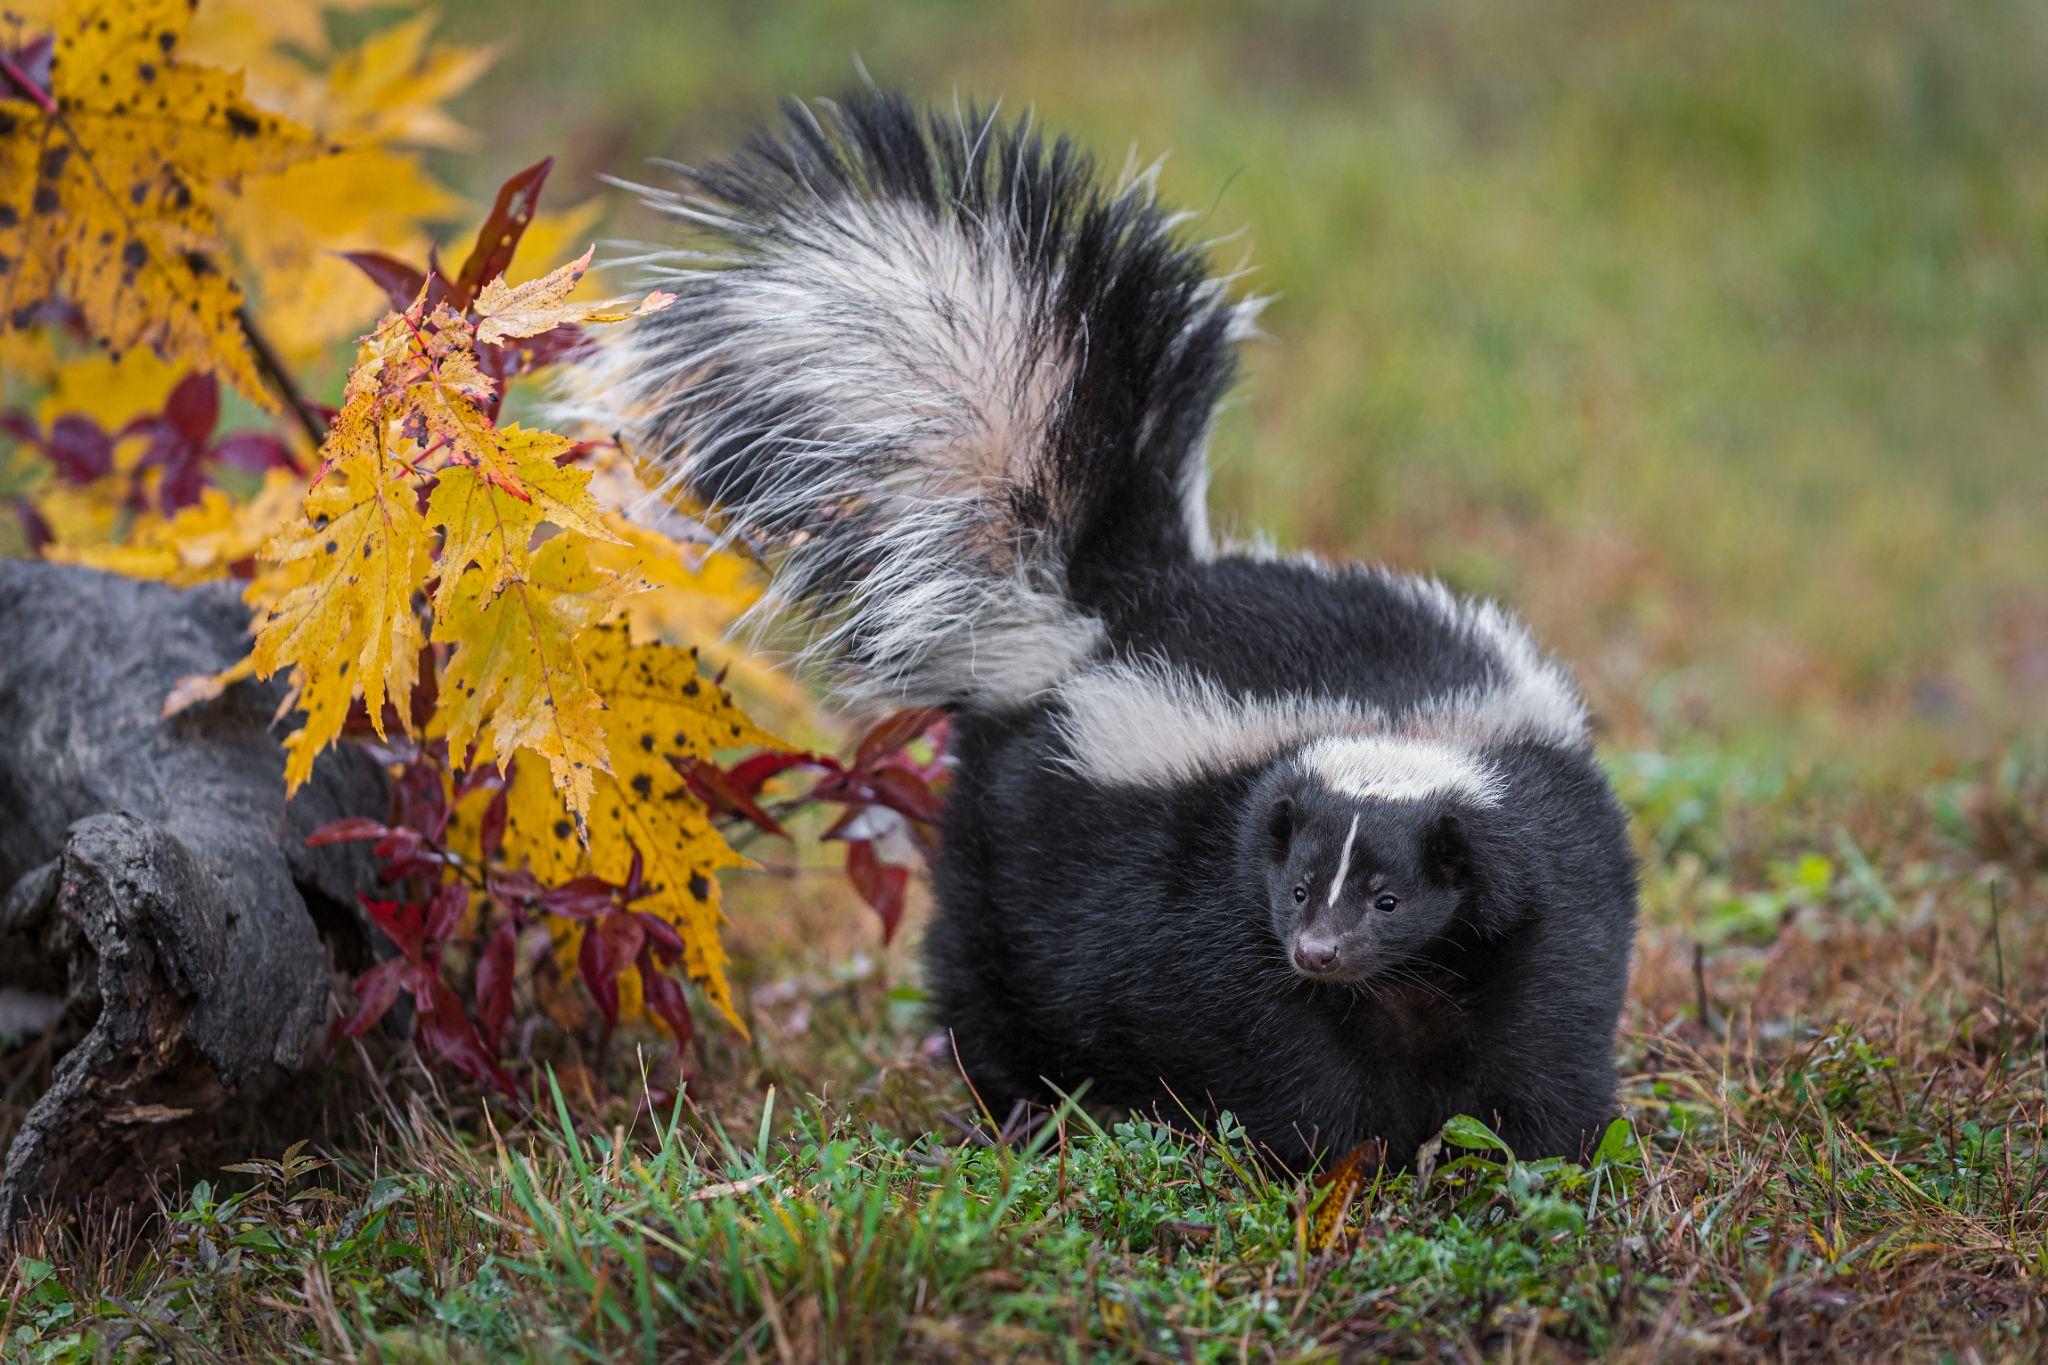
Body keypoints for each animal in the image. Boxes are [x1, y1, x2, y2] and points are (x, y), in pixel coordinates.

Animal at [569, 93, 1638, 1162]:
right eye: (1298, 888)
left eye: (1389, 897)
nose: (1318, 950)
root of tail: (1109, 596)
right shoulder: (1205, 891)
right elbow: (1272, 1040)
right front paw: (1337, 1154)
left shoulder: (1544, 875)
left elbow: (1546, 1017)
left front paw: (1539, 1148)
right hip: (1009, 835)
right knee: (986, 971)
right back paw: (1019, 1102)